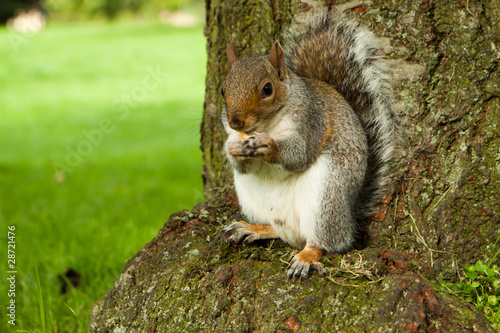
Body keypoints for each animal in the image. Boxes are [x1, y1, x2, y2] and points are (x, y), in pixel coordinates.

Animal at [221, 11, 396, 278]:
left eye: (267, 89)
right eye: (223, 90)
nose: (236, 121)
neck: (266, 126)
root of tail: (349, 217)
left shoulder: (312, 120)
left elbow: (300, 154)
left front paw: (269, 146)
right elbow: (244, 163)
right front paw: (233, 151)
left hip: (326, 198)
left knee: (326, 242)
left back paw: (307, 256)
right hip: (251, 199)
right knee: (277, 230)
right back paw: (254, 228)